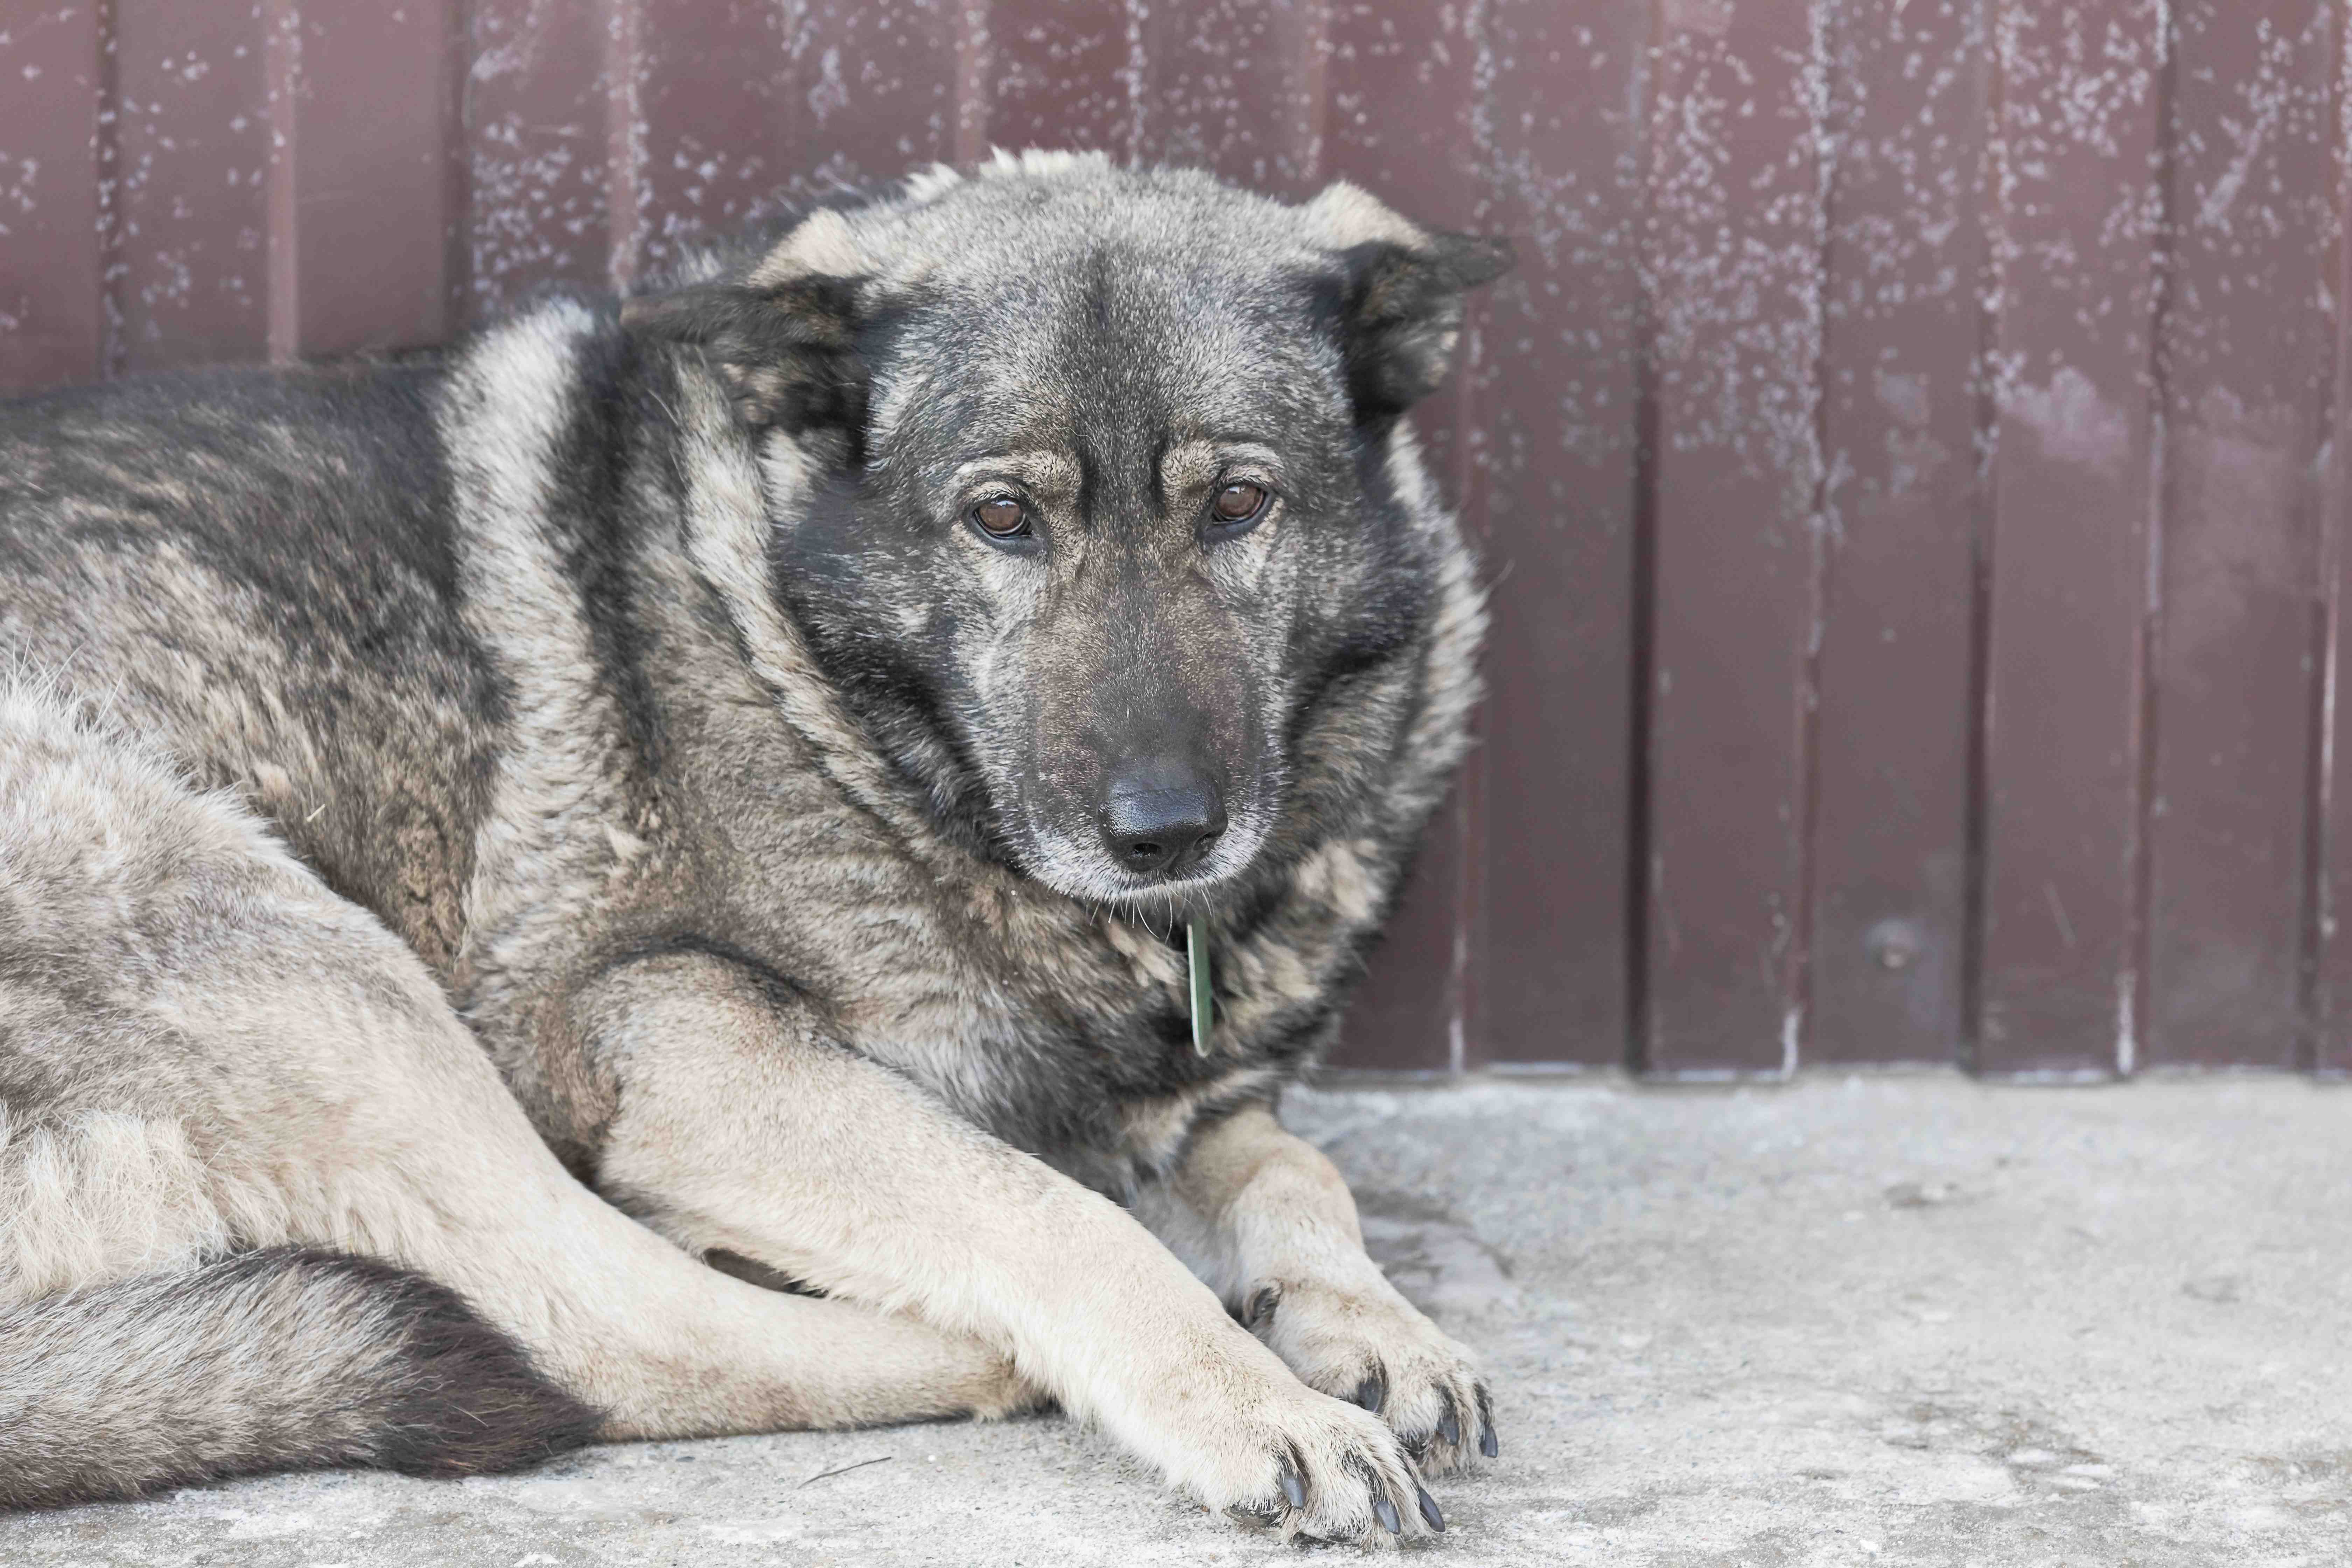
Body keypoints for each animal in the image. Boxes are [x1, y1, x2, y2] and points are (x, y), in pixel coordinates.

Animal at [0, 150, 1505, 1542]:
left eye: (1238, 505)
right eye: (1002, 518)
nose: (1164, 833)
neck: (821, 676)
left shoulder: (1169, 1104)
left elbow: (1284, 1166)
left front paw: (1370, 1321)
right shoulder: (679, 1033)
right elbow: (1061, 1214)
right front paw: (1255, 1397)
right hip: (301, 954)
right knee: (596, 1327)